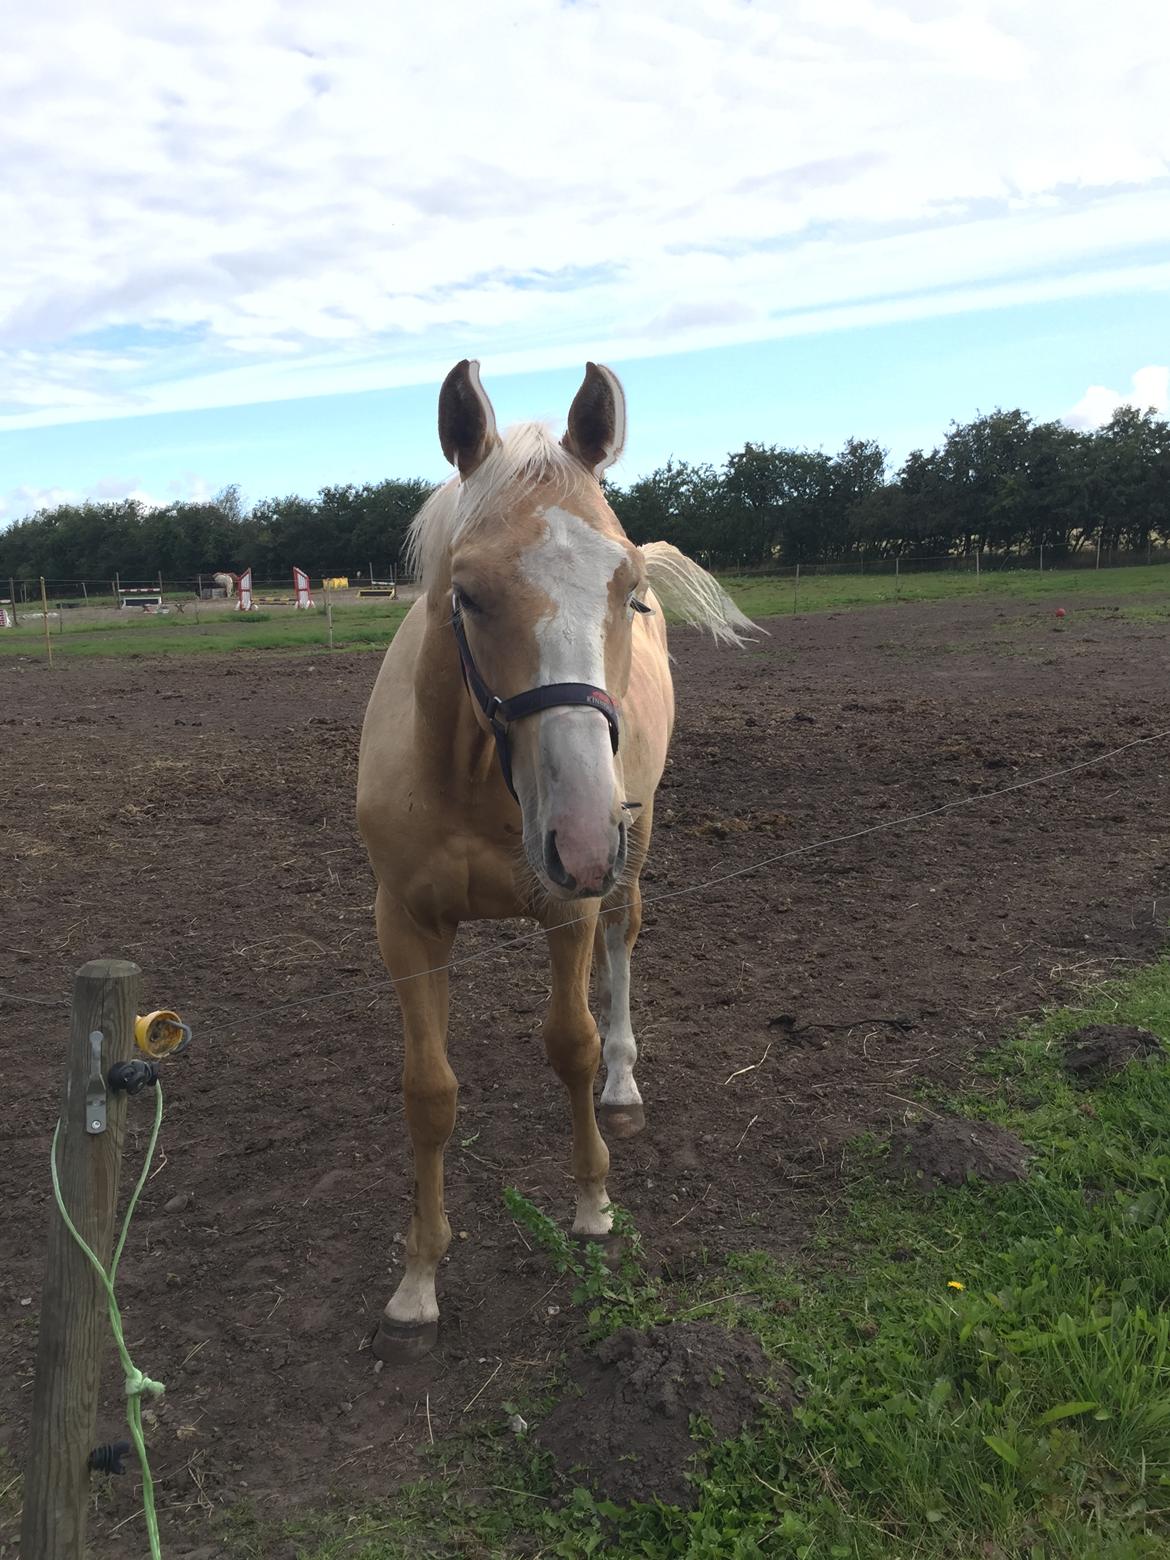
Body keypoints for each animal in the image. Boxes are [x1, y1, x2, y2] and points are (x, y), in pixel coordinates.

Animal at [357, 358, 755, 1360]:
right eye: (468, 593)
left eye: (627, 589)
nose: (577, 837)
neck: (472, 774)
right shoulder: (406, 924)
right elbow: (429, 1092)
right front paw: (419, 1275)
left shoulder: (567, 907)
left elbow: (569, 1045)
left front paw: (593, 1203)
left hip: (633, 848)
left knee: (622, 947)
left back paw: (624, 1078)